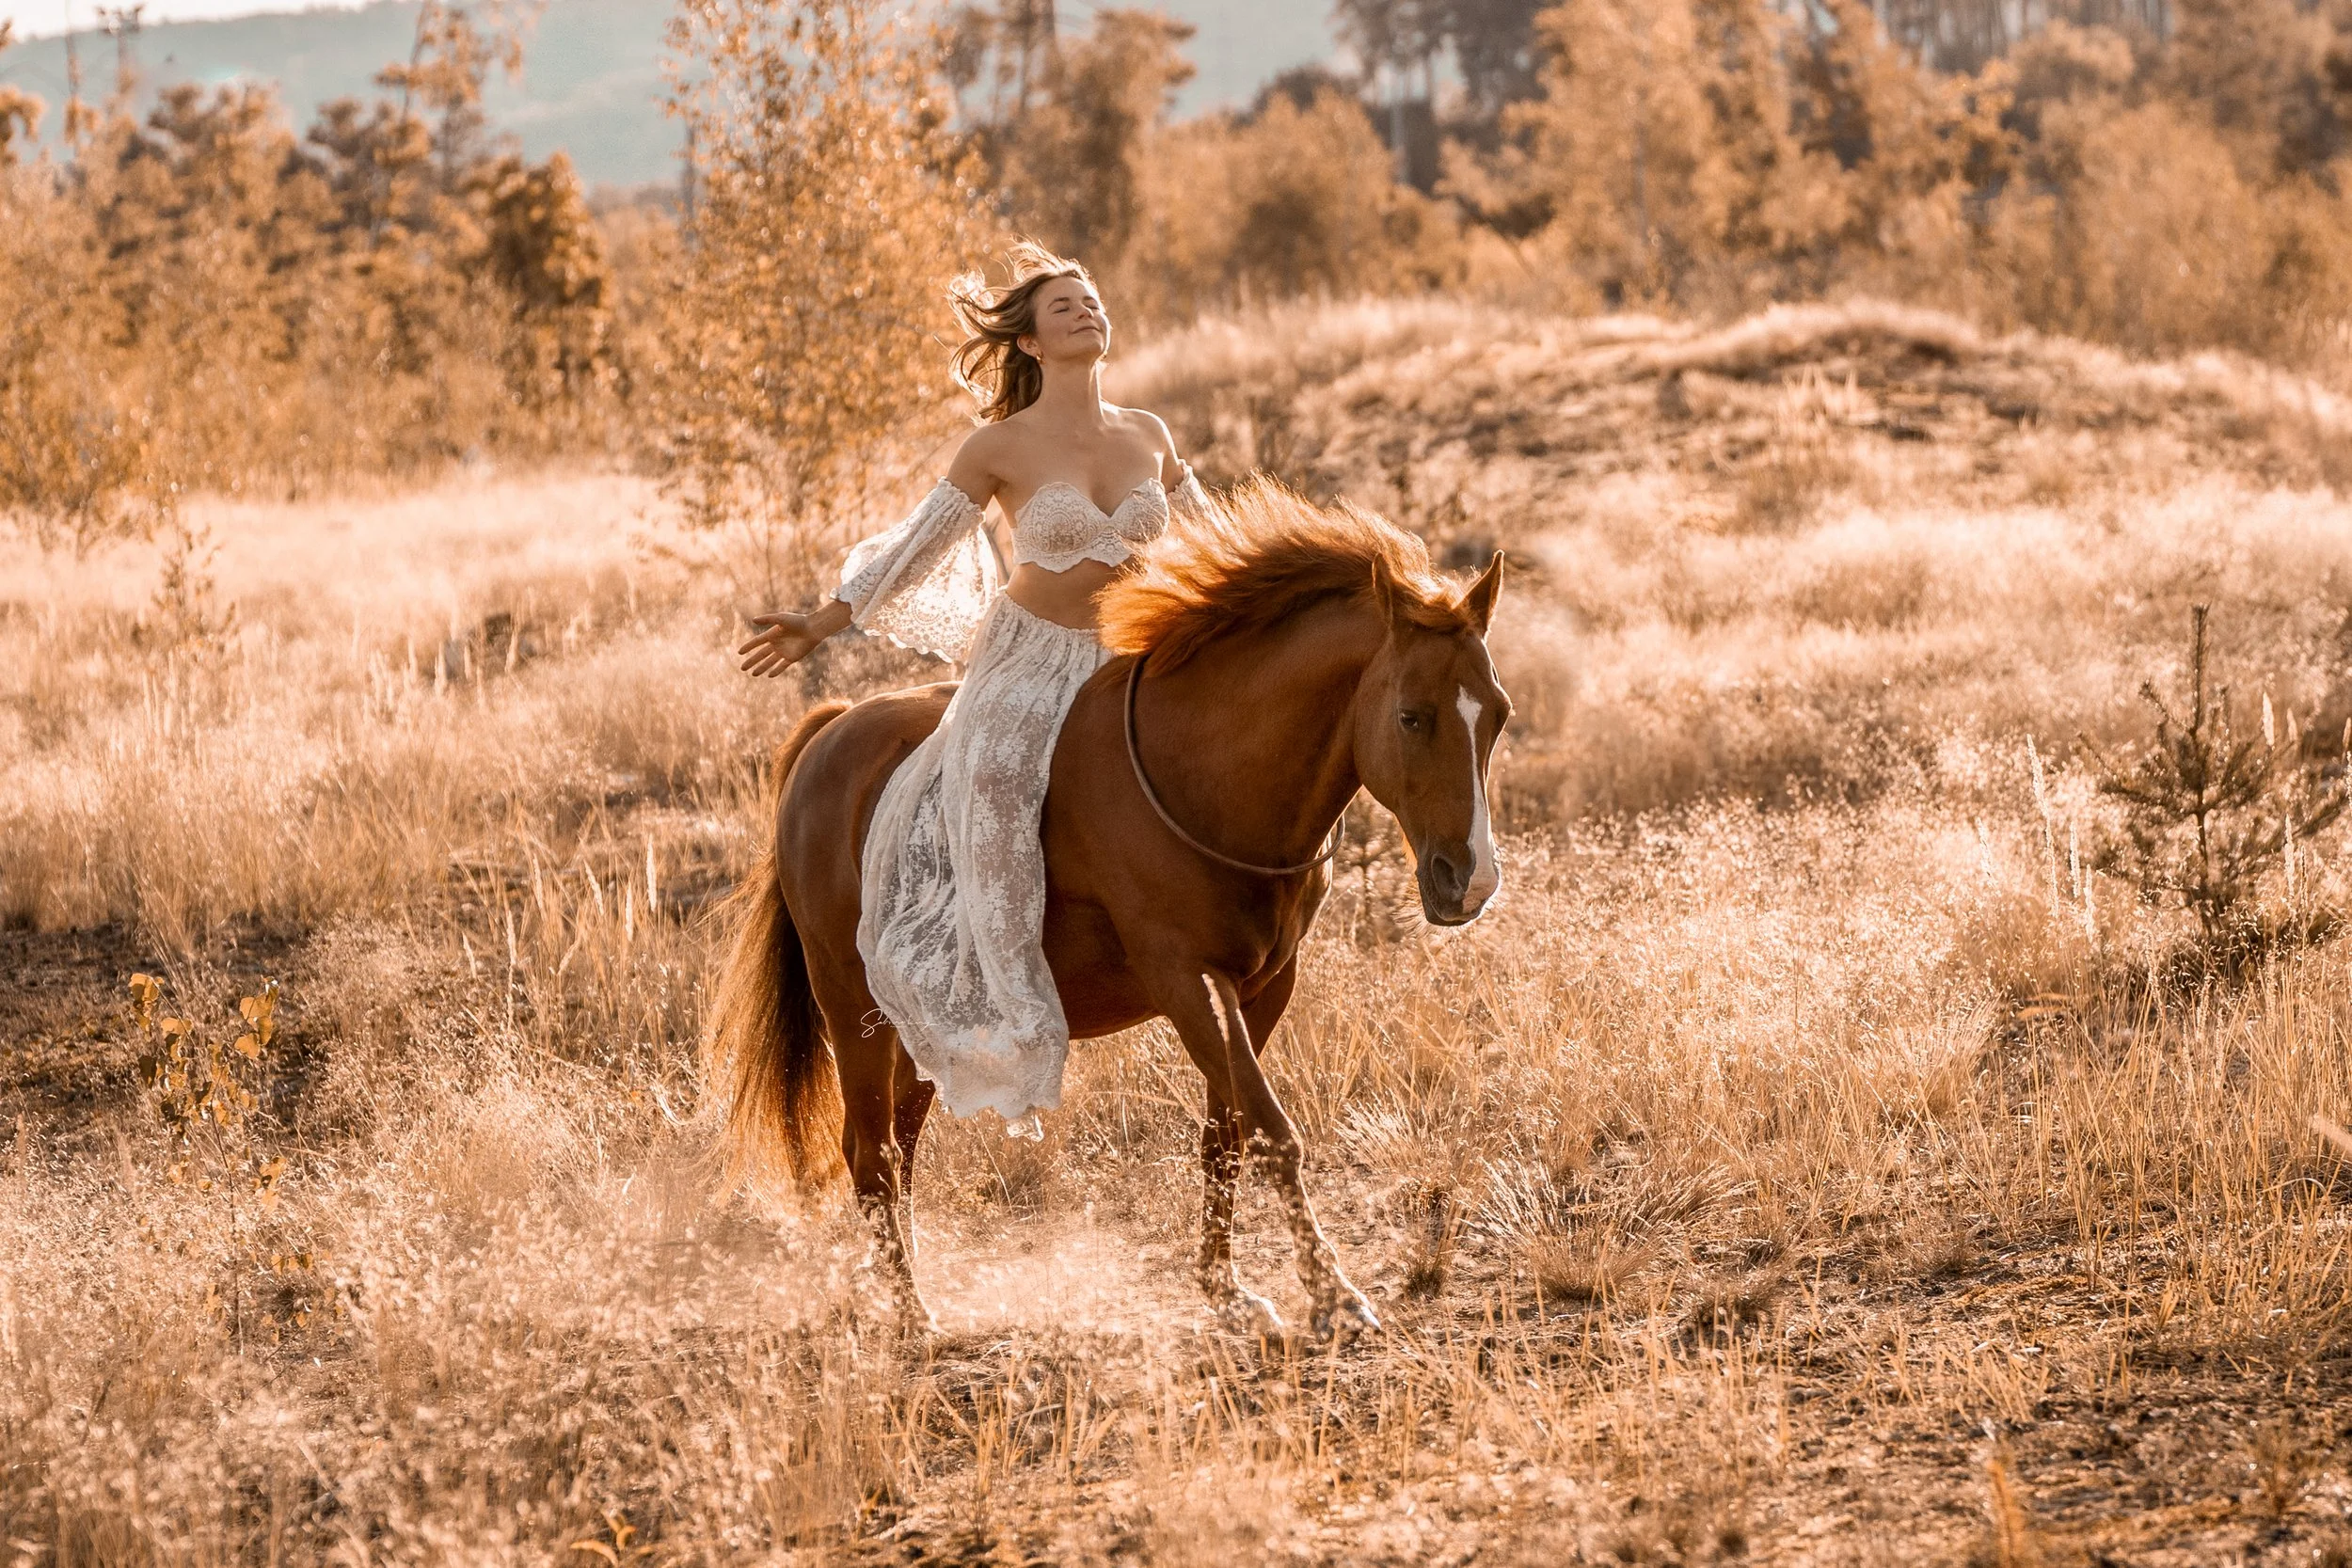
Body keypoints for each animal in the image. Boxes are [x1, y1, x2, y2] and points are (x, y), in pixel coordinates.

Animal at [709, 480, 1510, 1340]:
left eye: (1497, 714)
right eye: (1411, 715)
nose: (1469, 880)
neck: (1204, 773)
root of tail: (829, 736)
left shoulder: (1265, 985)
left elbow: (1225, 1133)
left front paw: (1226, 1288)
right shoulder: (1187, 979)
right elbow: (1272, 1131)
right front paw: (1333, 1295)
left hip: (928, 1027)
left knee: (900, 1144)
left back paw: (901, 1289)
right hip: (852, 1008)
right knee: (872, 1152)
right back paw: (912, 1313)